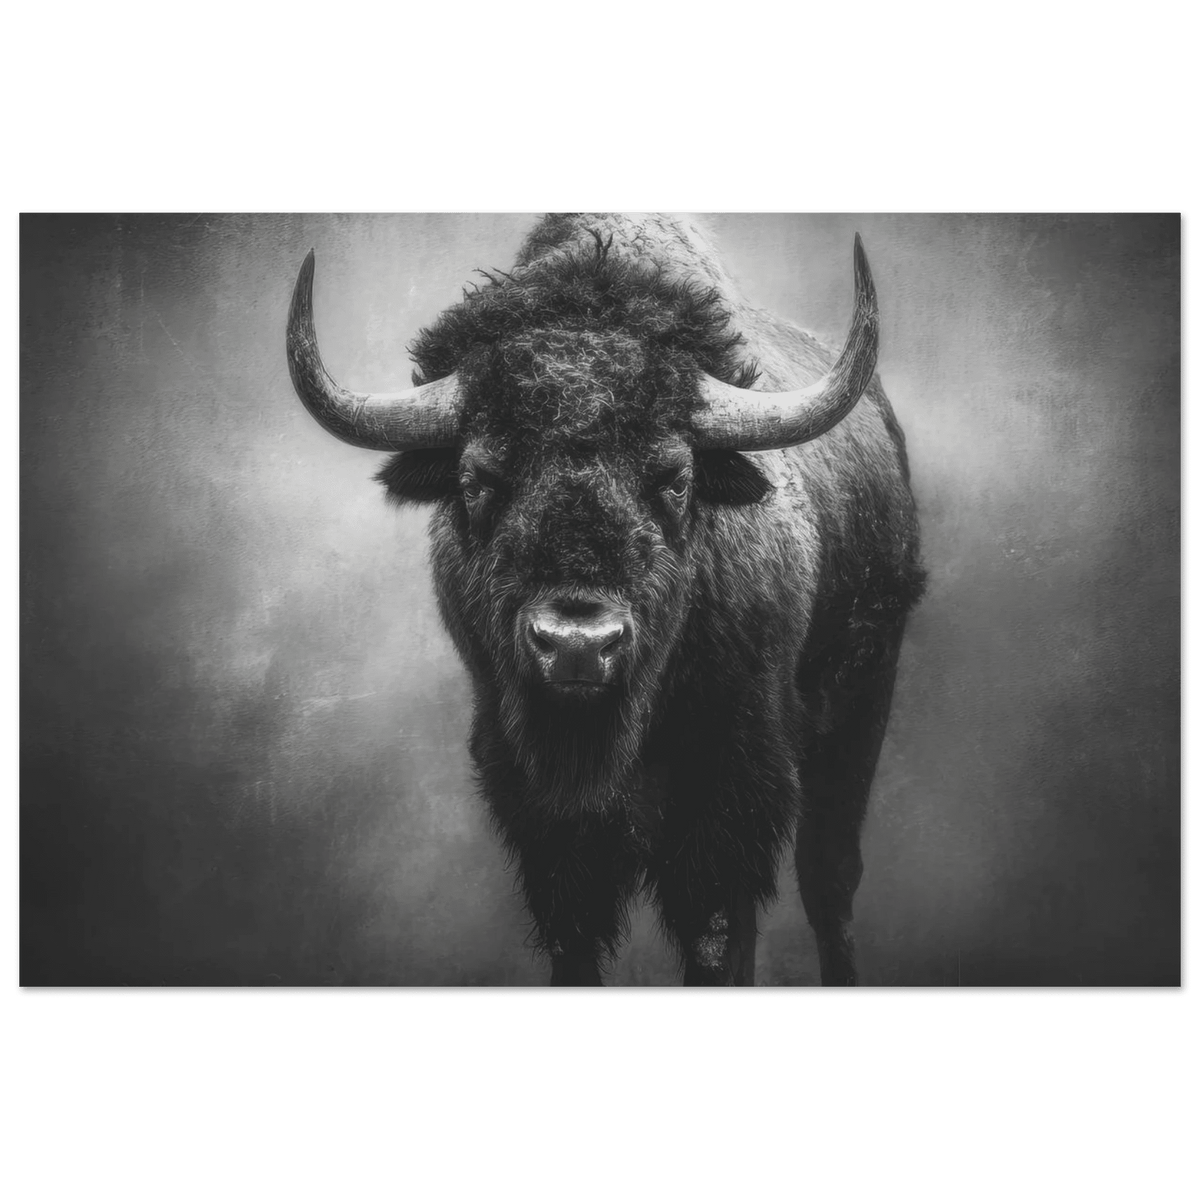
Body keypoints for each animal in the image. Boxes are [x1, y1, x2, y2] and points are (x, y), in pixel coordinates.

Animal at [286, 213, 925, 987]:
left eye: (675, 478)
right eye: (477, 479)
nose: (577, 646)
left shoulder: (731, 791)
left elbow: (717, 933)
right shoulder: (539, 810)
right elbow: (575, 935)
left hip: (860, 701)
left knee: (828, 878)